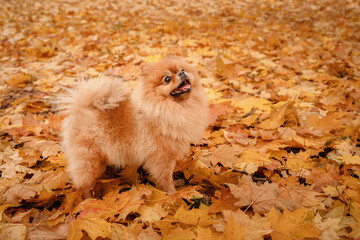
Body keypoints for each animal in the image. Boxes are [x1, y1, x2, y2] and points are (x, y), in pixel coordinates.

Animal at [60, 56, 210, 197]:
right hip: (90, 160)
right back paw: (89, 199)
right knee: (83, 185)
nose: (182, 73)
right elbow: (166, 178)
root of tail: (81, 108)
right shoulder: (161, 157)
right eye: (167, 79)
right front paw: (173, 194)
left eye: (182, 69)